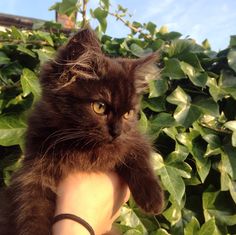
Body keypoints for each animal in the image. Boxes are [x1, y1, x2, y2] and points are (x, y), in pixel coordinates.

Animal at [0, 28, 163, 235]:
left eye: (128, 113)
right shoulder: (33, 171)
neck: (83, 148)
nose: (116, 132)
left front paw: (153, 198)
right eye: (100, 107)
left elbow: (139, 155)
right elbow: (31, 211)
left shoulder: (132, 137)